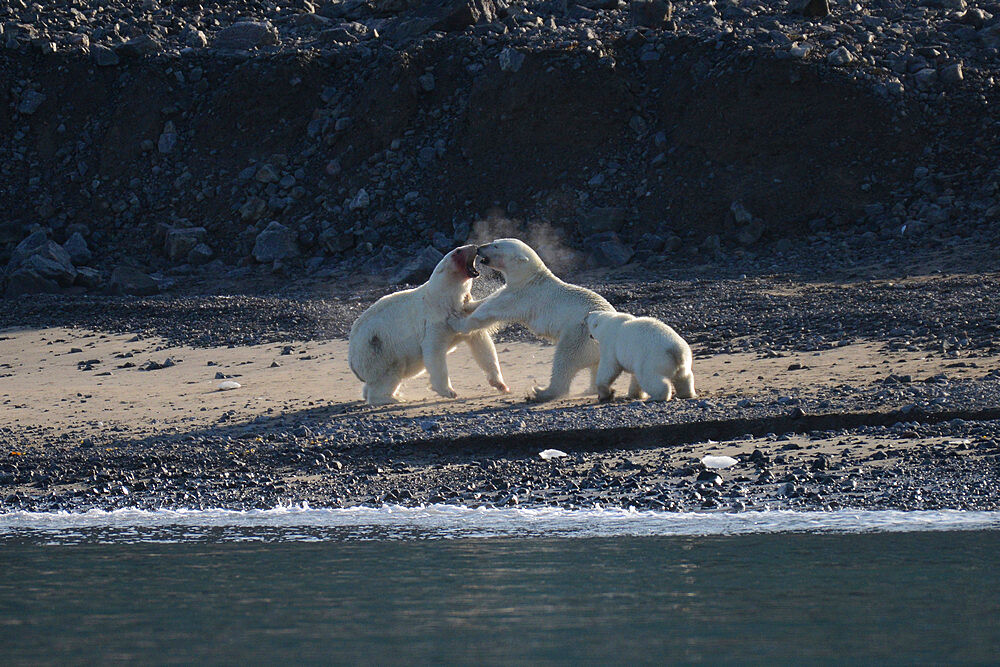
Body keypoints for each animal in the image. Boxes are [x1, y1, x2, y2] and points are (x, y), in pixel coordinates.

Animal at [350, 243, 508, 404]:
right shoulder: (434, 319)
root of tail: (352, 362)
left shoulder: (463, 312)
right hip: (378, 349)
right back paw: (394, 398)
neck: (443, 298)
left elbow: (481, 343)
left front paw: (500, 384)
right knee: (390, 373)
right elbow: (434, 352)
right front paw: (449, 391)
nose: (474, 247)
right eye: (458, 251)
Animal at [448, 240, 616, 402]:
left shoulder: (521, 296)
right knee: (595, 366)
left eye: (496, 246)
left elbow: (490, 311)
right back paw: (591, 389)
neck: (530, 278)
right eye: (494, 241)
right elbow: (491, 297)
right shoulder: (513, 289)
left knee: (565, 360)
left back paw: (541, 392)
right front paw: (467, 302)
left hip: (579, 335)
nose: (480, 248)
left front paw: (456, 321)